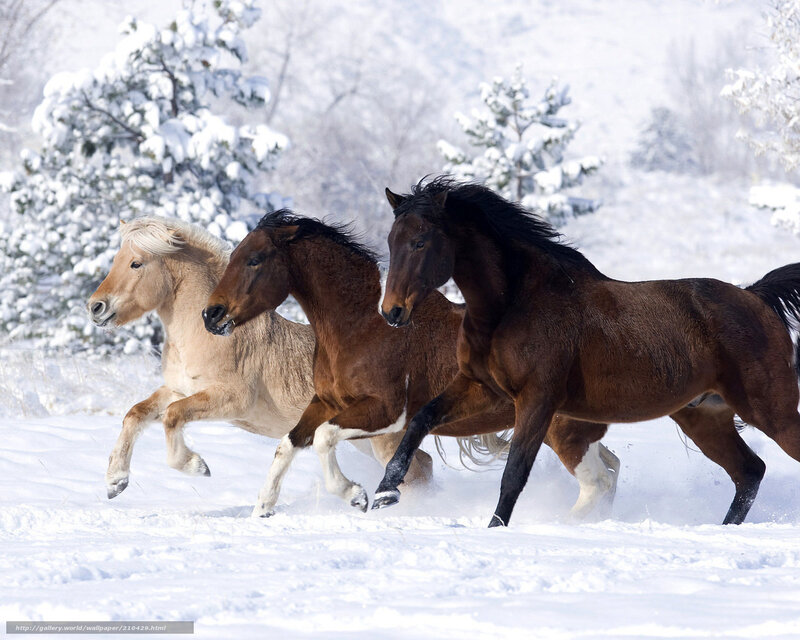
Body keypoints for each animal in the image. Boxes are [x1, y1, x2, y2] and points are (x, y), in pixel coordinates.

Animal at [87, 216, 433, 507]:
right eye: (116, 260)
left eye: (136, 263)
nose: (95, 307)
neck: (207, 335)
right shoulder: (178, 389)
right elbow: (135, 414)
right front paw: (115, 482)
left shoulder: (230, 399)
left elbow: (172, 417)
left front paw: (197, 466)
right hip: (364, 437)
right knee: (424, 465)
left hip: (382, 438)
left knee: (417, 471)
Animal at [202, 210, 620, 518]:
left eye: (254, 260)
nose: (211, 314)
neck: (361, 327)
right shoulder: (325, 402)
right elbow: (288, 444)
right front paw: (263, 508)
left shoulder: (385, 411)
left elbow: (323, 439)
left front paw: (356, 495)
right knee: (610, 469)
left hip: (561, 430)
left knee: (598, 481)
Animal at [374, 177, 800, 527]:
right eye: (391, 241)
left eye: (420, 242)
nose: (392, 312)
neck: (513, 303)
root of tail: (755, 296)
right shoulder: (481, 388)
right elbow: (421, 419)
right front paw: (384, 492)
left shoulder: (537, 400)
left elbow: (514, 473)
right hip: (704, 417)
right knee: (749, 472)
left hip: (769, 410)